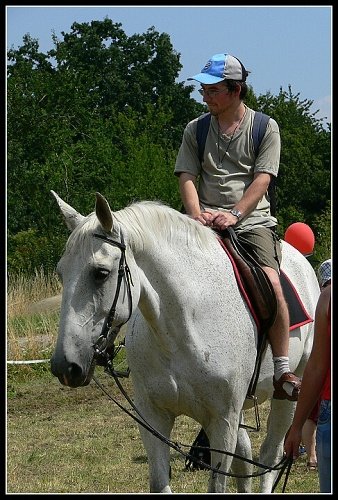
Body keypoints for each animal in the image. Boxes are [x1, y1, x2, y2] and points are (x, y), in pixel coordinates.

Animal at [49, 191, 320, 492]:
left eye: (101, 273)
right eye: (61, 273)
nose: (65, 366)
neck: (181, 331)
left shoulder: (221, 423)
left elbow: (219, 483)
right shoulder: (153, 418)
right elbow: (160, 482)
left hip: (288, 394)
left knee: (269, 457)